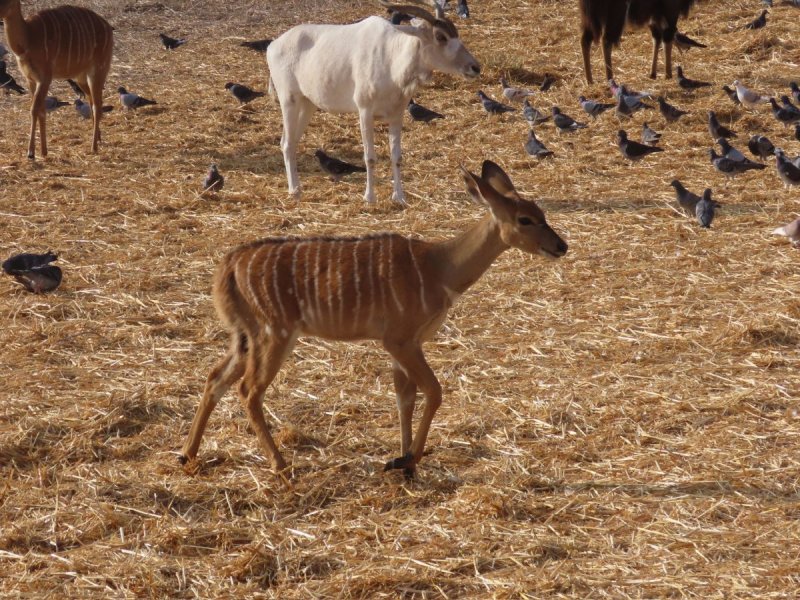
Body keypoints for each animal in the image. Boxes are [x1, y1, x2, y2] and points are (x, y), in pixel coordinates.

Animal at [0, 0, 114, 159]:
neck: (28, 37)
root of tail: (108, 27)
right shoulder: (30, 79)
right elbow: (41, 110)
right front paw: (43, 151)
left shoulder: (45, 78)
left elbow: (35, 110)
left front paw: (31, 153)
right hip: (80, 77)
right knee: (92, 101)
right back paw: (98, 138)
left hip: (98, 69)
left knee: (97, 105)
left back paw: (94, 147)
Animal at [181, 161, 568, 478]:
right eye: (525, 219)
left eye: (541, 212)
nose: (561, 246)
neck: (438, 268)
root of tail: (229, 264)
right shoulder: (399, 339)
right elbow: (434, 391)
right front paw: (407, 459)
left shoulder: (406, 345)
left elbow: (404, 397)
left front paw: (403, 462)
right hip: (273, 333)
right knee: (249, 390)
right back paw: (280, 464)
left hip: (244, 336)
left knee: (215, 378)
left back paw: (187, 454)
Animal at [268, 1, 482, 204]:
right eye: (440, 36)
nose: (475, 67)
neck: (391, 57)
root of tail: (273, 46)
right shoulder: (365, 111)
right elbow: (369, 157)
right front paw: (369, 198)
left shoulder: (397, 115)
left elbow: (397, 156)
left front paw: (399, 197)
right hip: (289, 100)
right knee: (287, 142)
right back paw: (294, 191)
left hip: (307, 104)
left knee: (291, 141)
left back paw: (297, 189)